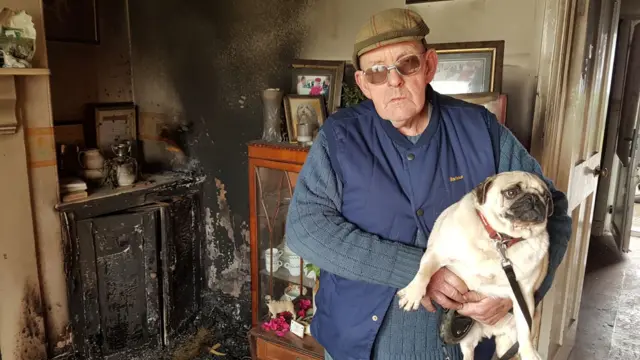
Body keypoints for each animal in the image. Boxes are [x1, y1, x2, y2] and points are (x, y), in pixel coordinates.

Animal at [398, 171, 552, 360]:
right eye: (511, 192)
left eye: (546, 197)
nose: (534, 198)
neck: (499, 240)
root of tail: (490, 331)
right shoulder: (436, 253)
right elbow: (424, 272)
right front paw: (413, 294)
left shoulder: (523, 294)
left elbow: (525, 328)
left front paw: (529, 352)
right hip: (467, 339)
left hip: (507, 341)